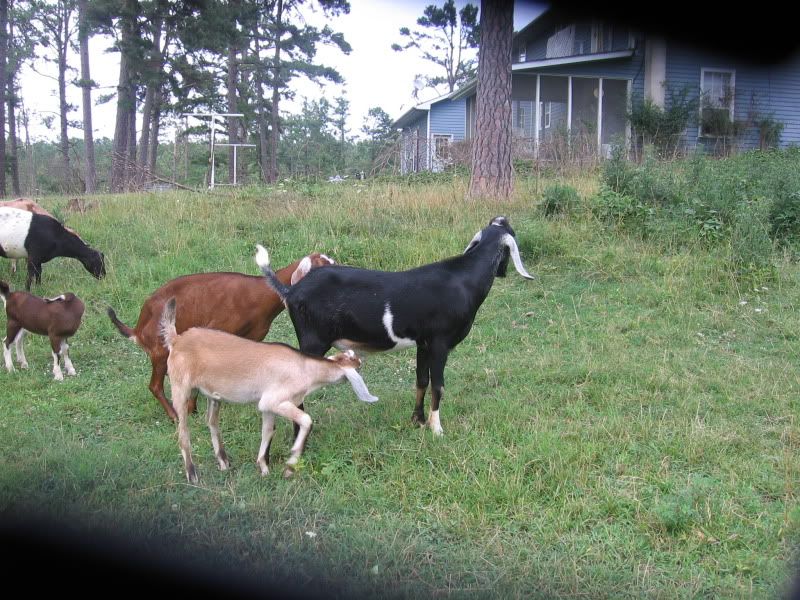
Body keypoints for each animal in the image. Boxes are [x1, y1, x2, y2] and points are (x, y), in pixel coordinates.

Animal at [107, 252, 335, 422]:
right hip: (160, 349)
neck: (259, 294)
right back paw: (174, 415)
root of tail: (139, 327)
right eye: (323, 265)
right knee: (155, 385)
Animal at [160, 297, 378, 483]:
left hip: (212, 395)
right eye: (357, 366)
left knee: (211, 421)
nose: (361, 361)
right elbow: (306, 420)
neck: (304, 368)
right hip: (180, 387)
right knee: (183, 431)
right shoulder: (275, 400)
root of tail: (176, 339)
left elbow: (268, 430)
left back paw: (223, 462)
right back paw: (192, 474)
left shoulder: (266, 406)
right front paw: (290, 464)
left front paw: (263, 468)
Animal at [256, 216, 535, 436]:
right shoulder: (440, 343)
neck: (464, 280)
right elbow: (438, 384)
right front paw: (437, 429)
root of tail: (291, 291)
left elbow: (421, 380)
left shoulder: (424, 343)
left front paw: (418, 421)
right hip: (313, 341)